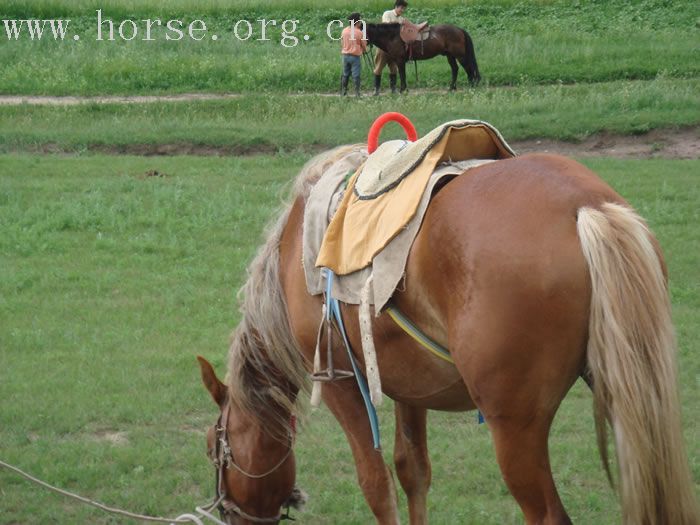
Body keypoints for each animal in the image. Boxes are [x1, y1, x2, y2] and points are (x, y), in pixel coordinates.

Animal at [198, 144, 700, 524]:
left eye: (213, 447)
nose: (228, 513)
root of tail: (585, 206)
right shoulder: (409, 386)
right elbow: (412, 471)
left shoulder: (340, 384)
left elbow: (376, 483)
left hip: (515, 430)